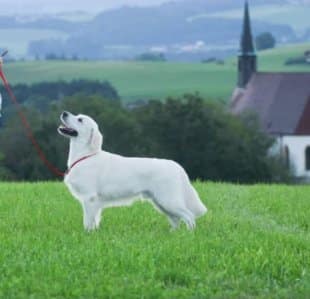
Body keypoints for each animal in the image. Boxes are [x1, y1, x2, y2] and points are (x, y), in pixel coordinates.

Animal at [58, 111, 208, 231]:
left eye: (80, 119)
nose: (64, 113)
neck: (86, 155)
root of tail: (176, 165)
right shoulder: (94, 201)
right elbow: (94, 220)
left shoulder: (89, 198)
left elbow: (88, 221)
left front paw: (87, 234)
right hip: (161, 202)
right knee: (176, 219)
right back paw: (174, 233)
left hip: (168, 200)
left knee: (189, 216)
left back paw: (189, 234)